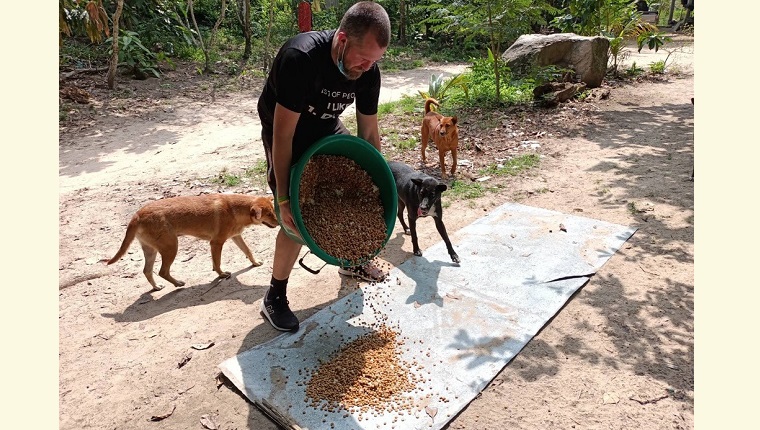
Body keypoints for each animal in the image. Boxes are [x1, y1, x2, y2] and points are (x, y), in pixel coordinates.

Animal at [103, 196, 276, 292]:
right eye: (268, 214)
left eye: (273, 211)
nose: (279, 222)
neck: (234, 209)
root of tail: (137, 215)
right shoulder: (216, 243)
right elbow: (217, 263)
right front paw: (221, 275)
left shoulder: (236, 237)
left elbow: (248, 251)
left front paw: (255, 262)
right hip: (171, 247)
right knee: (162, 271)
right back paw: (178, 283)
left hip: (151, 250)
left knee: (147, 271)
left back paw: (156, 287)